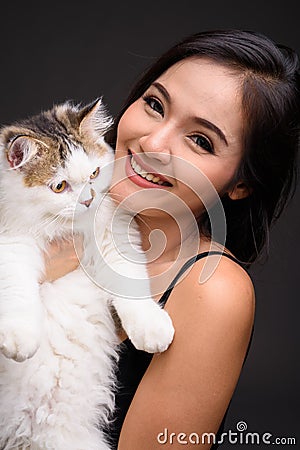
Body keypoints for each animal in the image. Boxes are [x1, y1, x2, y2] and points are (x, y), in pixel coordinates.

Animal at [0, 99, 173, 450]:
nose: (89, 200)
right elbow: (16, 289)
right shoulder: (11, 244)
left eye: (94, 173)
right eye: (59, 186)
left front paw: (152, 329)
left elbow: (133, 289)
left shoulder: (115, 238)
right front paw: (19, 338)